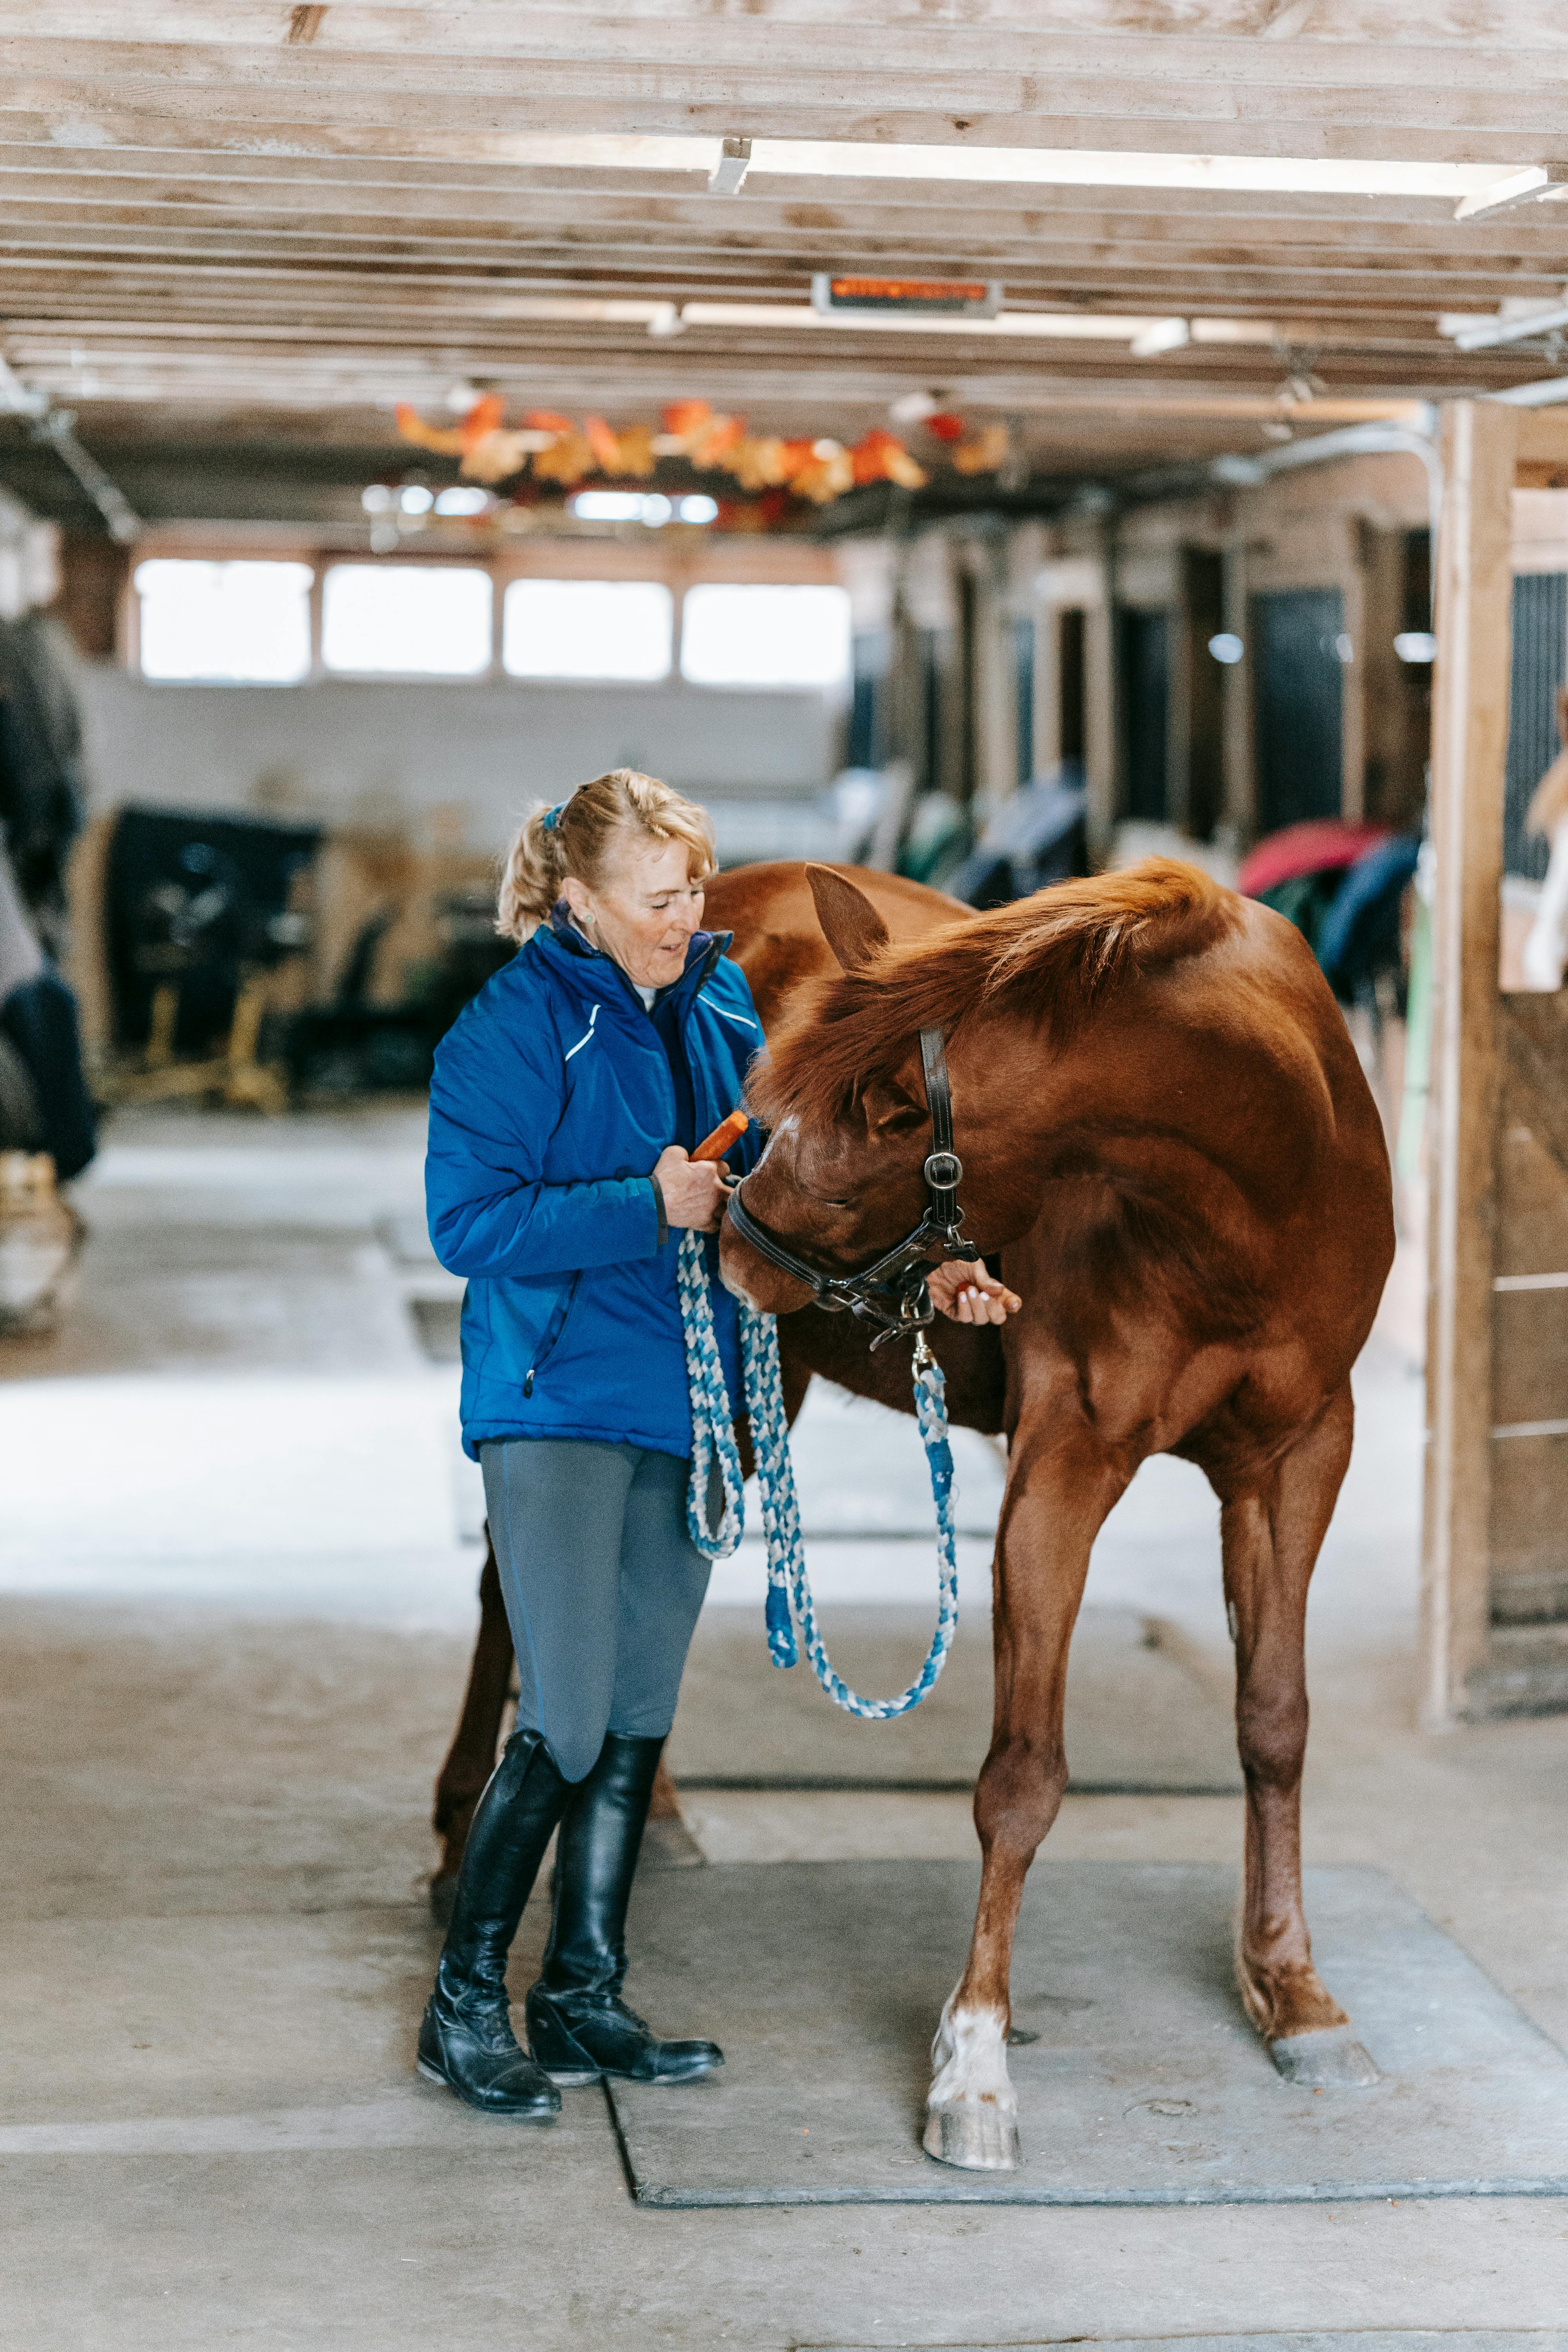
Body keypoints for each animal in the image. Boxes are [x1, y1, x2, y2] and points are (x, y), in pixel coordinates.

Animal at [720, 858, 1395, 2172]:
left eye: (886, 1119)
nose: (732, 1243)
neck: (1258, 1192)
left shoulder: (1298, 1458)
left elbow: (1275, 1720)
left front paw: (1291, 1989)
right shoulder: (1064, 1467)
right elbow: (1023, 1777)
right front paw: (976, 2064)